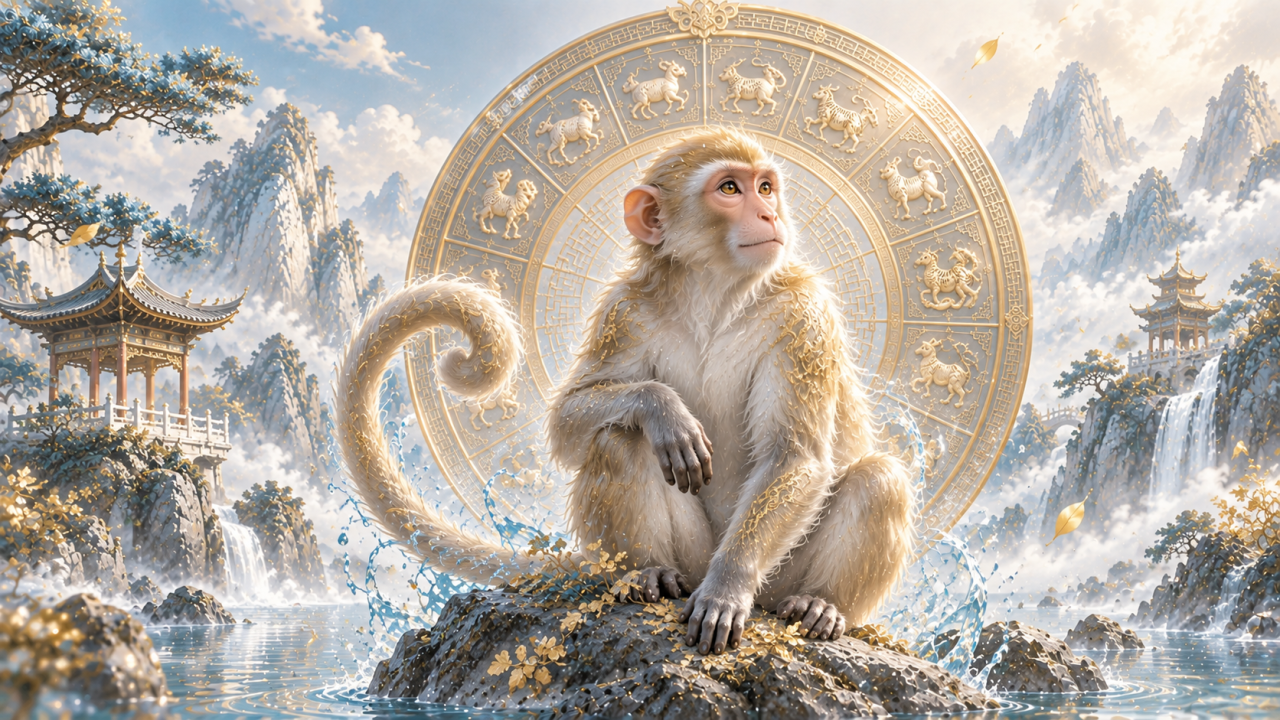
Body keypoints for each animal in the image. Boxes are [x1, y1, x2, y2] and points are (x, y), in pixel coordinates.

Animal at [335, 127, 915, 657]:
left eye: (766, 187)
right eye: (730, 188)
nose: (770, 216)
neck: (712, 293)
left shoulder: (805, 318)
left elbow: (794, 456)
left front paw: (728, 587)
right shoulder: (625, 309)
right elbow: (569, 421)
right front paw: (660, 407)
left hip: (776, 582)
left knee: (880, 480)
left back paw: (820, 602)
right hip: (689, 559)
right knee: (618, 439)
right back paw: (646, 571)